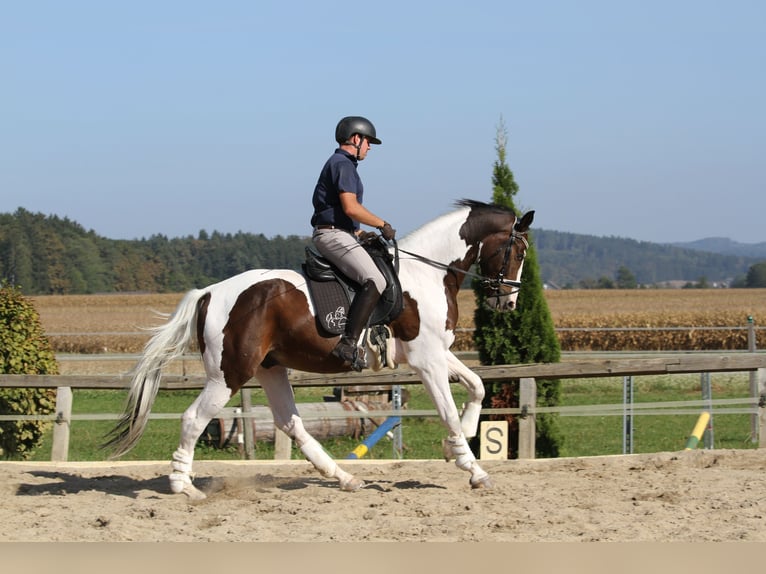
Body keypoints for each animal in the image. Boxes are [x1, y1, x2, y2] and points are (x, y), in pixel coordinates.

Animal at [105, 199, 534, 498]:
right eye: (517, 252)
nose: (509, 304)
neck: (428, 272)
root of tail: (209, 293)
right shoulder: (426, 359)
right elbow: (447, 409)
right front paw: (473, 468)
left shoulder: (434, 352)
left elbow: (476, 386)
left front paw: (454, 445)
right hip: (229, 374)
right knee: (194, 419)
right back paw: (184, 487)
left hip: (270, 368)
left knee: (290, 423)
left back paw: (344, 477)